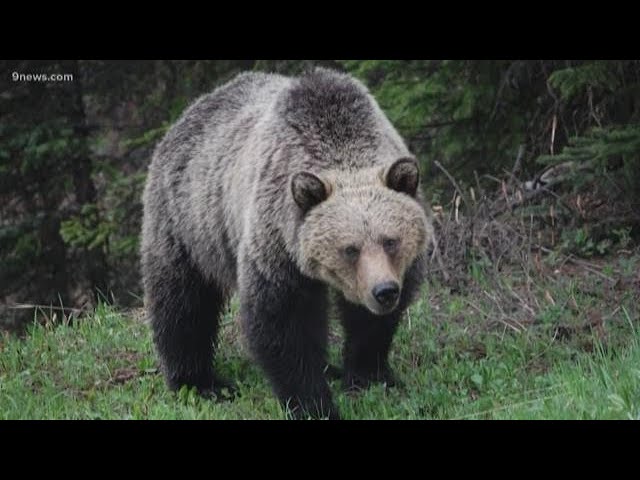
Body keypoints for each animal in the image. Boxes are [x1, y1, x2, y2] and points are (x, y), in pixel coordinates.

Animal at [142, 68, 432, 420]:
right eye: (349, 249)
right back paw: (200, 382)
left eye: (391, 241)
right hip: (188, 221)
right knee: (183, 302)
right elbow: (284, 324)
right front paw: (314, 404)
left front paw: (370, 375)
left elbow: (370, 325)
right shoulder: (276, 243)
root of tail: (189, 112)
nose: (384, 291)